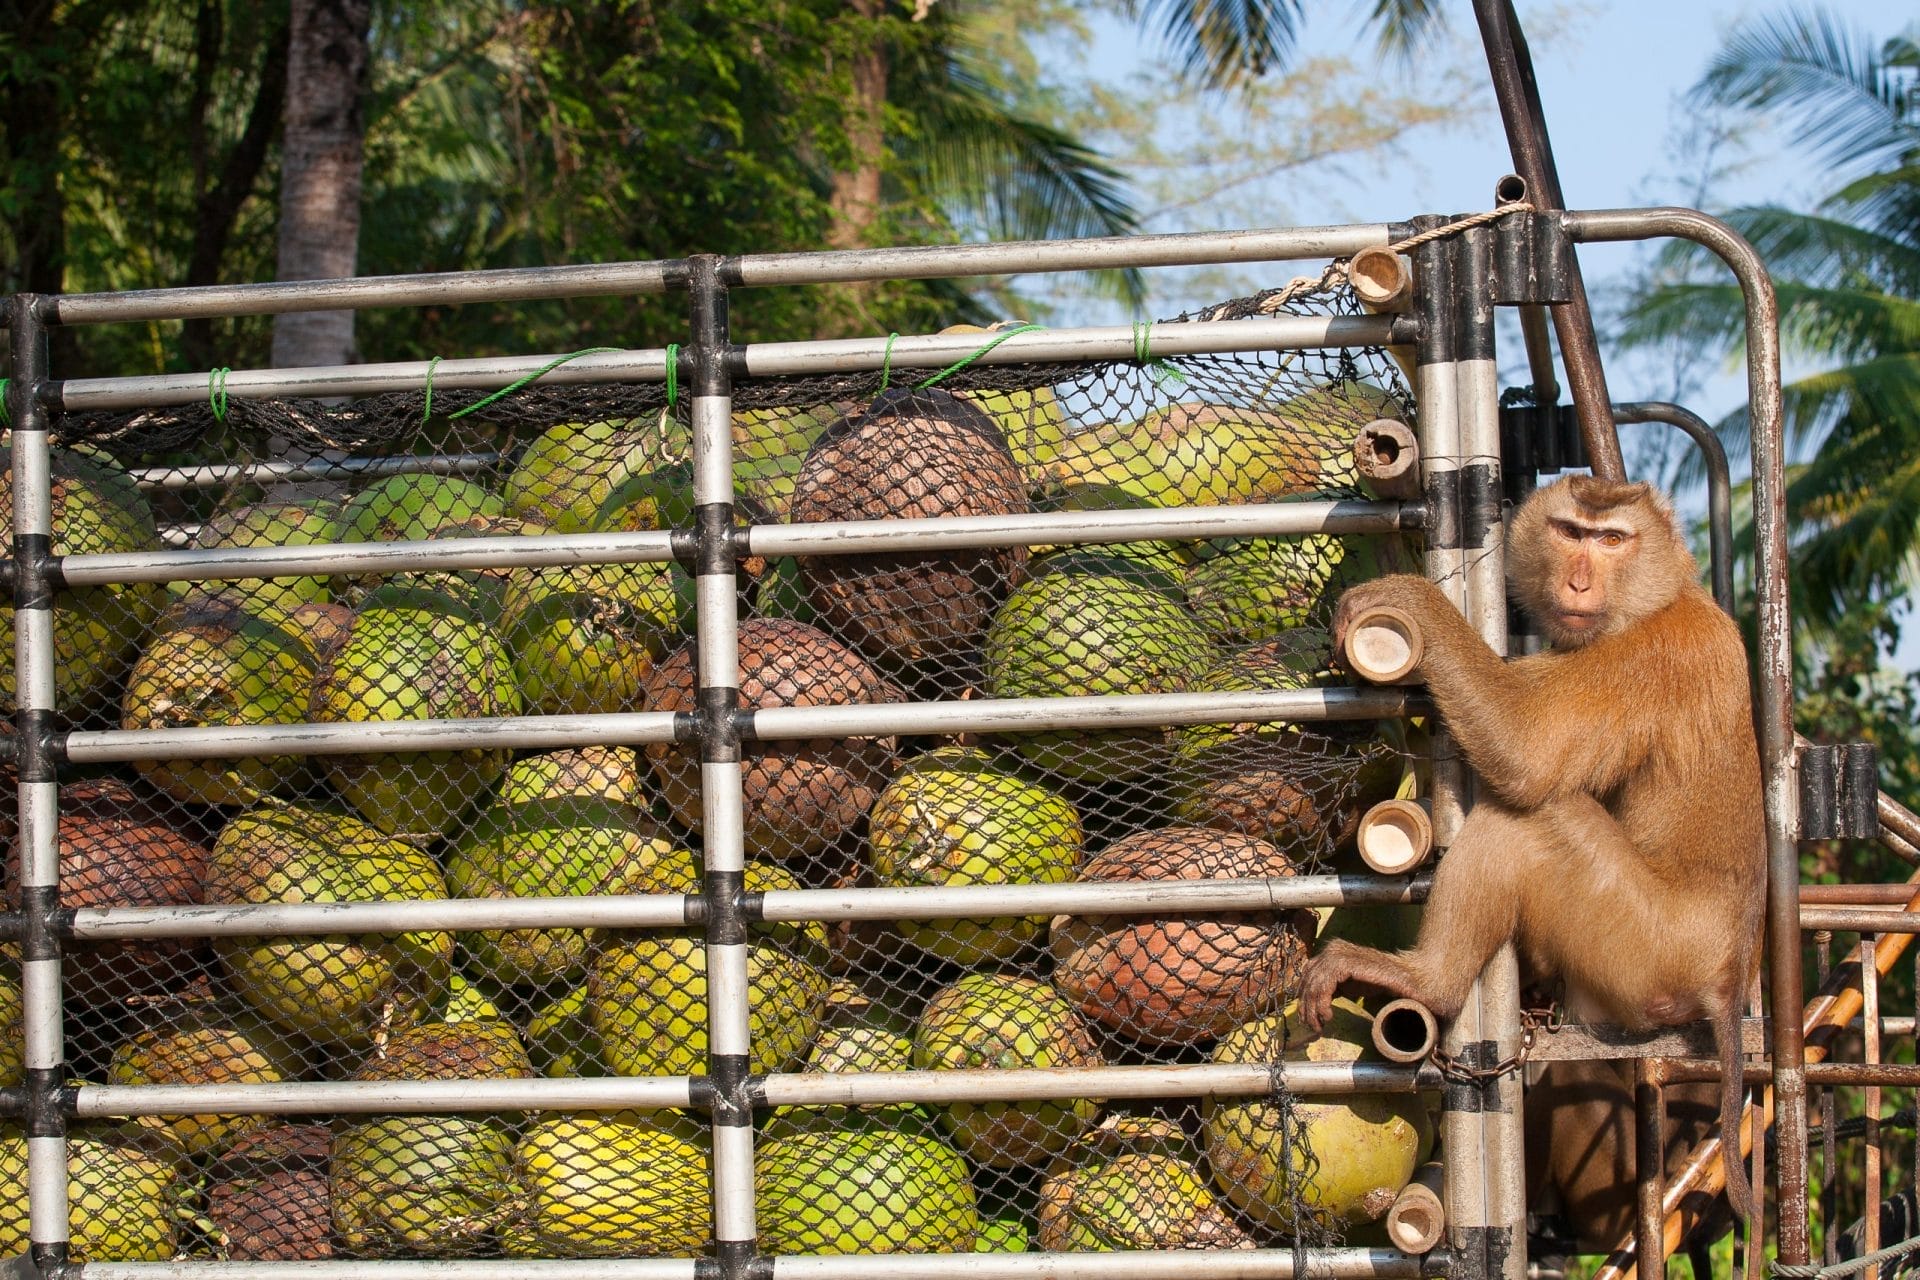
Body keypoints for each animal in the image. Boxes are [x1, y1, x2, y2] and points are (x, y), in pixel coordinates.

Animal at [1299, 473, 1766, 1224]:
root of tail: (1725, 977)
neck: (1664, 592)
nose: (1579, 580)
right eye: (1572, 531)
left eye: (1612, 539)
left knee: (1531, 818)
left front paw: (1411, 597)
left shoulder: (1649, 653)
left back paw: (1429, 980)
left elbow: (1527, 751)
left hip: (1640, 944)